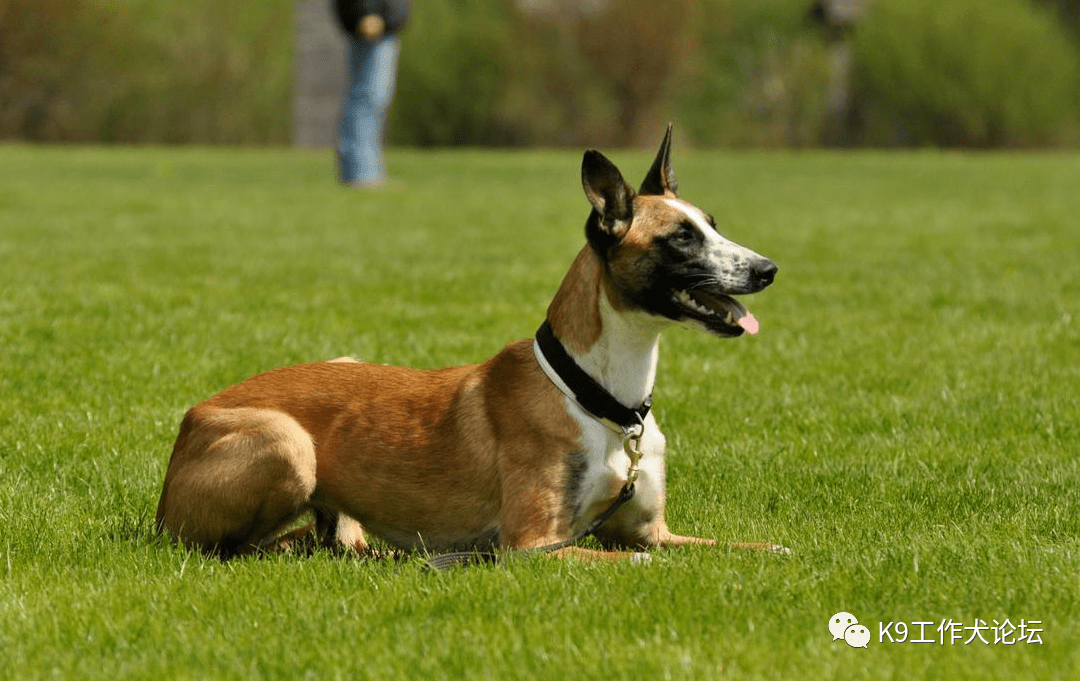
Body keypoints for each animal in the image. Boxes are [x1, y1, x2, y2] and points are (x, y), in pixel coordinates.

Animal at [154, 125, 777, 561]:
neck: (596, 397)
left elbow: (744, 550)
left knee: (332, 540)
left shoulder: (651, 533)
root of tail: (192, 419)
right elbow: (637, 564)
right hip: (287, 443)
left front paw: (777, 552)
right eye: (681, 238)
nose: (768, 269)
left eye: (713, 224)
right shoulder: (531, 547)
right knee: (238, 549)